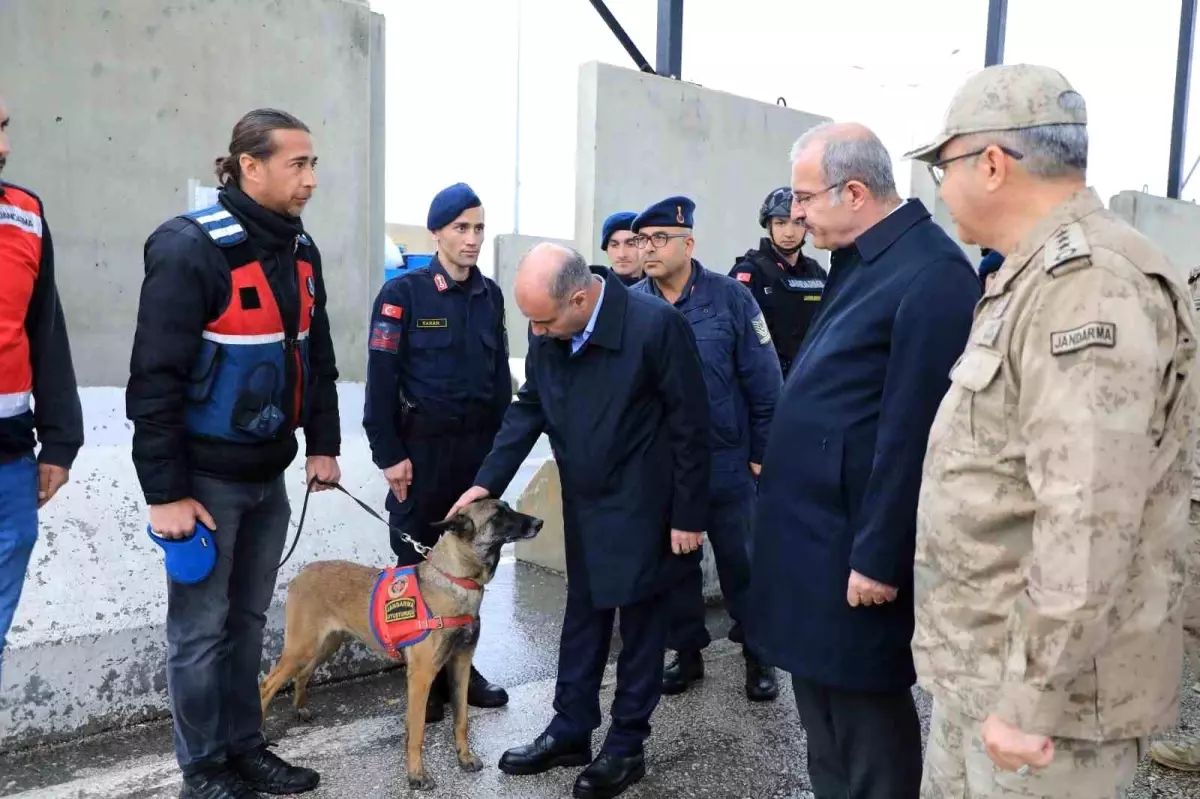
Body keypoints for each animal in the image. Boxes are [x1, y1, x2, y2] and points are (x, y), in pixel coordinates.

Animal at [264, 501, 549, 787]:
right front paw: (416, 775)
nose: (540, 523)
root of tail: (303, 572)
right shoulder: (421, 675)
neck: (454, 578)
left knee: (303, 674)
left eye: (508, 507)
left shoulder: (460, 664)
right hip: (302, 648)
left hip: (325, 645)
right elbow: (417, 731)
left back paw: (300, 708)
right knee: (267, 684)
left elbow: (461, 719)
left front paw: (465, 757)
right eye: (498, 515)